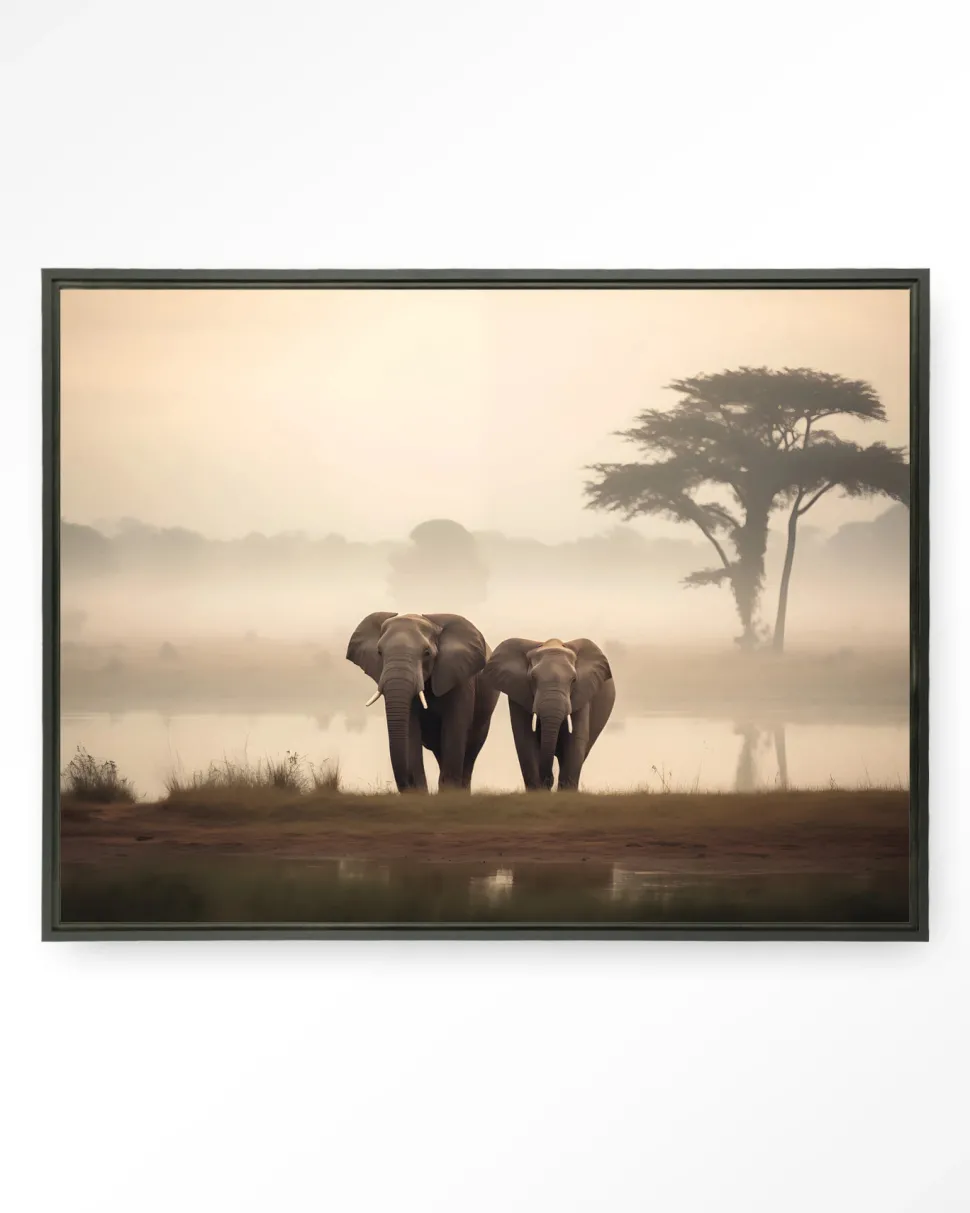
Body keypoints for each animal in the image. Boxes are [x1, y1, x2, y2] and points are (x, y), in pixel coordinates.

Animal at [346, 612, 499, 793]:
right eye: (379, 652)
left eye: (427, 653)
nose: (407, 785)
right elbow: (411, 732)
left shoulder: (461, 679)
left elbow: (455, 729)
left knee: (470, 754)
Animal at [482, 637, 615, 791]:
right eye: (533, 678)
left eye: (574, 680)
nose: (548, 779)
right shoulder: (517, 694)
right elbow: (525, 740)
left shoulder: (582, 692)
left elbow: (575, 741)